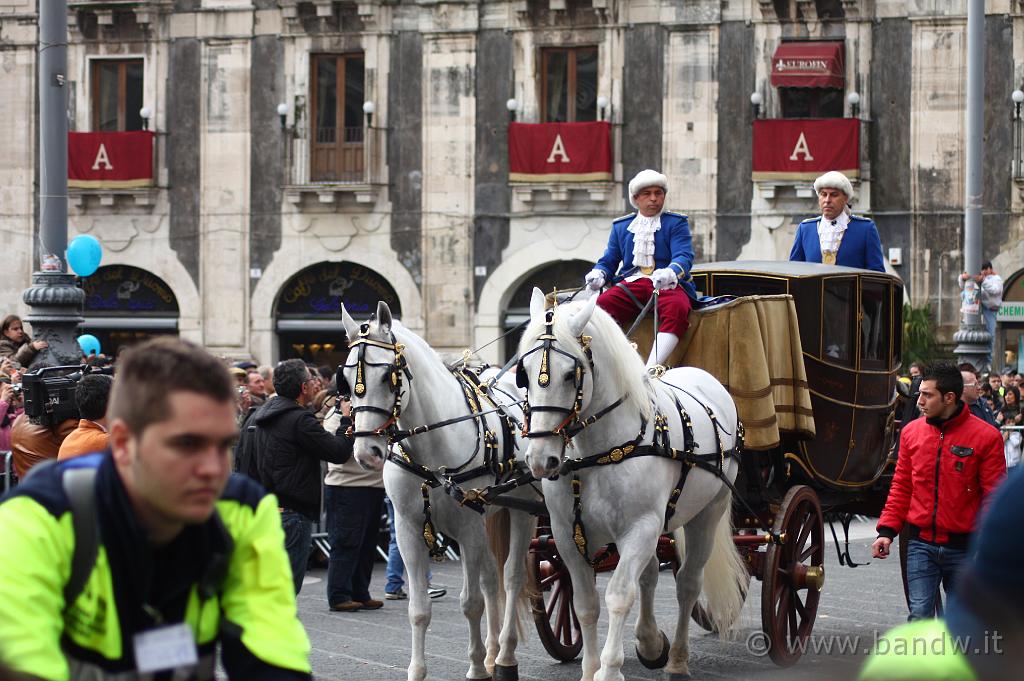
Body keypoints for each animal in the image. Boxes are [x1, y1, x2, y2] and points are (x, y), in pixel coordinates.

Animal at [342, 301, 540, 679]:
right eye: (345, 379)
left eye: (389, 375)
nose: (366, 452)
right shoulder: (408, 529)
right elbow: (419, 609)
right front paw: (418, 670)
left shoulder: (468, 527)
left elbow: (471, 602)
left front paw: (475, 668)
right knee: (492, 579)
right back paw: (493, 653)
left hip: (522, 511)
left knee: (510, 577)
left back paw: (504, 656)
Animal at [520, 288, 745, 679]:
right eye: (526, 373)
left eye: (571, 375)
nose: (540, 459)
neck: (598, 453)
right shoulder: (566, 536)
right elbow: (585, 604)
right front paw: (591, 668)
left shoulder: (640, 527)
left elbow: (619, 596)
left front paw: (609, 669)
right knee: (652, 573)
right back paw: (651, 642)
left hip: (707, 512)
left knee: (688, 582)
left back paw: (676, 659)